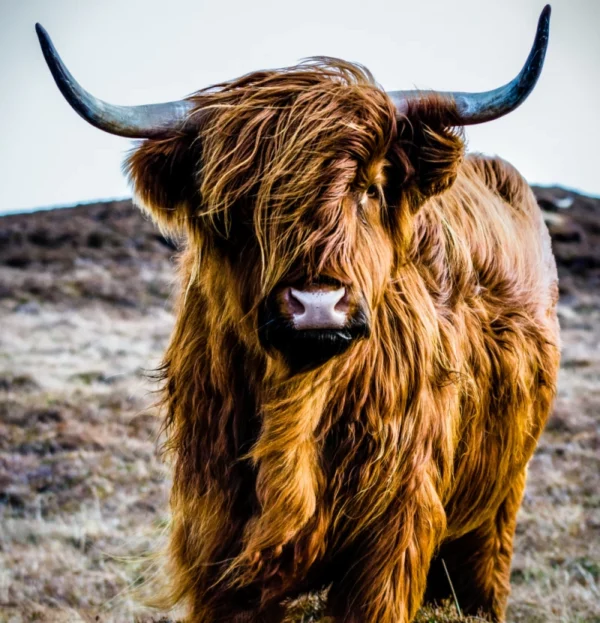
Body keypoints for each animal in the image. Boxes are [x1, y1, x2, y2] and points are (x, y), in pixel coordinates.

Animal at [37, 6, 560, 623]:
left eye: (371, 188)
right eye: (238, 204)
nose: (317, 306)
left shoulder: (394, 534)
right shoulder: (216, 535)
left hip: (499, 499)